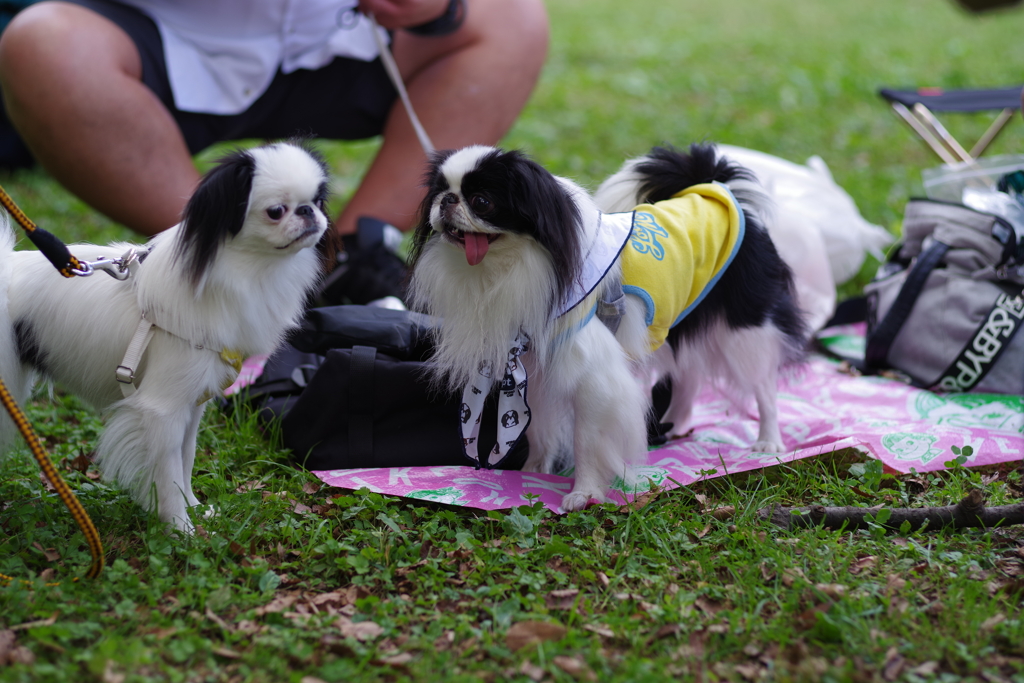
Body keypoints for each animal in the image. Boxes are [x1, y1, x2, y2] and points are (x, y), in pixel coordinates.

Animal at [0, 141, 327, 532]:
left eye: (319, 200)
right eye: (276, 211)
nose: (309, 212)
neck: (249, 270)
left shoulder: (191, 406)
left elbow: (184, 460)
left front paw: (196, 509)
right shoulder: (162, 409)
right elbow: (168, 473)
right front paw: (181, 529)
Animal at [407, 143, 806, 507]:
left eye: (482, 201)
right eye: (440, 192)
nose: (446, 201)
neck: (511, 268)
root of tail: (713, 188)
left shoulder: (592, 379)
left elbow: (586, 440)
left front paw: (584, 493)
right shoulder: (535, 368)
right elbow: (540, 431)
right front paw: (532, 473)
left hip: (745, 332)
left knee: (763, 387)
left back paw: (768, 442)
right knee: (689, 375)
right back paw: (675, 427)